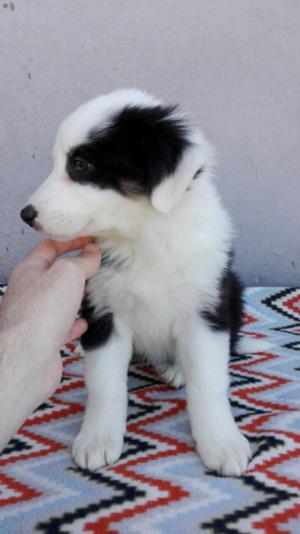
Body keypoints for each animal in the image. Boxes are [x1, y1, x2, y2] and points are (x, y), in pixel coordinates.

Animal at [20, 88, 258, 478]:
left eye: (80, 165)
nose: (26, 215)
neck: (144, 236)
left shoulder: (205, 309)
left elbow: (209, 384)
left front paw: (222, 443)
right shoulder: (102, 309)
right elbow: (105, 385)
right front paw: (98, 439)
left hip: (233, 291)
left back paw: (174, 368)